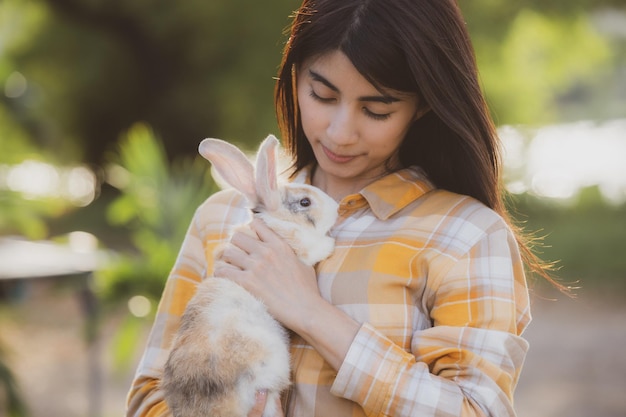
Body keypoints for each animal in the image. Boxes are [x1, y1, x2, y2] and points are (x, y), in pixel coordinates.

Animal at [158, 134, 338, 416]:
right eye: (305, 202)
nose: (337, 207)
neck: (275, 221)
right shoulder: (300, 244)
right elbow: (316, 247)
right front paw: (331, 244)